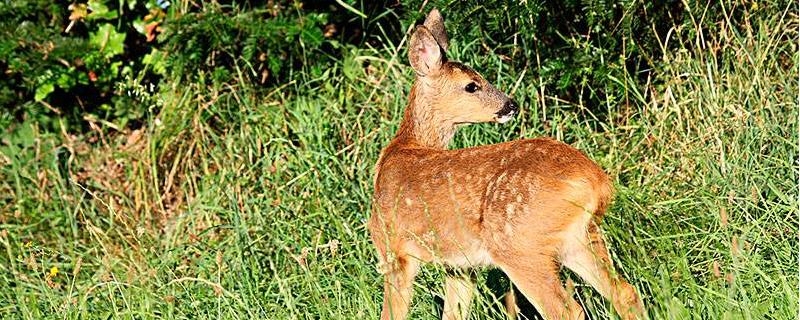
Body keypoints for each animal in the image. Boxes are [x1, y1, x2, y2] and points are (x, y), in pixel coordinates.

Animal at [368, 8, 644, 320]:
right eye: (472, 85)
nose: (510, 105)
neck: (404, 147)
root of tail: (596, 180)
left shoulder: (392, 249)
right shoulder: (460, 265)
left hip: (519, 245)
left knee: (565, 309)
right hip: (580, 237)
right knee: (625, 292)